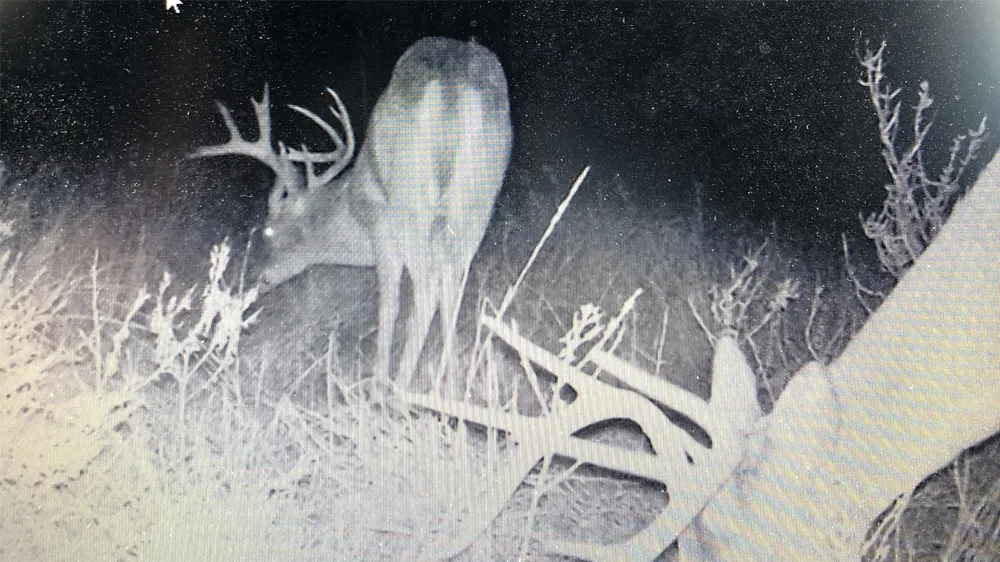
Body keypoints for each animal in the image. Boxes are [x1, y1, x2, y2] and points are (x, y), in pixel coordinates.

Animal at [189, 37, 513, 390]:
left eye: (268, 230)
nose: (258, 278)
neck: (349, 207)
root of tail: (456, 88)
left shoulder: (381, 227)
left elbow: (390, 304)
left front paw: (380, 382)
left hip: (409, 204)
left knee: (425, 290)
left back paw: (396, 392)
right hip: (477, 201)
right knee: (453, 287)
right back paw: (451, 389)